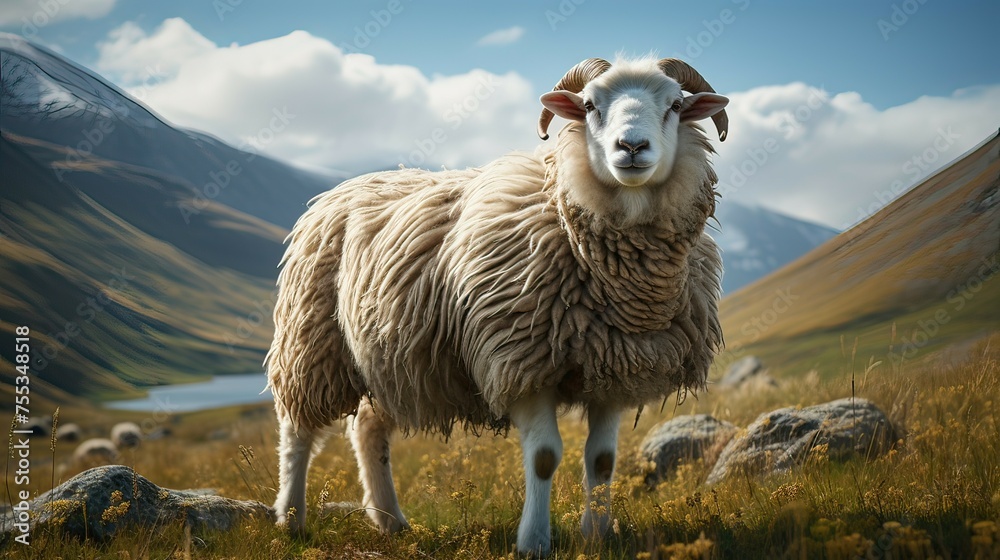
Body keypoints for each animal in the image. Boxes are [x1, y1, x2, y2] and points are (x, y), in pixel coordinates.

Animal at [267, 56, 729, 556]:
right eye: (589, 105)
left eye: (676, 105)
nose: (631, 147)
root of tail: (337, 190)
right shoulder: (520, 365)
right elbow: (544, 458)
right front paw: (534, 542)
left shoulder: (613, 371)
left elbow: (603, 461)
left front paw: (599, 535)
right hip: (313, 342)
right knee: (297, 433)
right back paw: (291, 520)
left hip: (389, 358)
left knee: (368, 430)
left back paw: (390, 521)